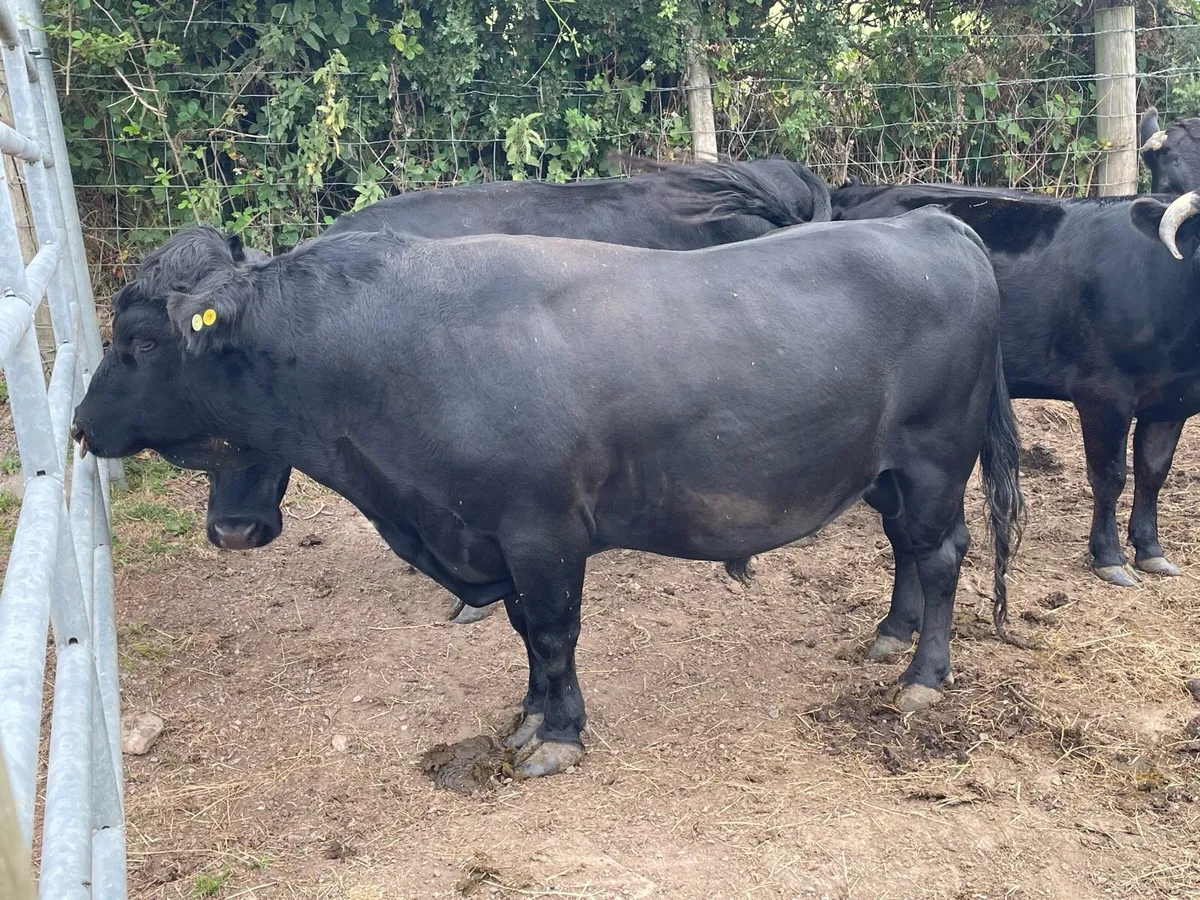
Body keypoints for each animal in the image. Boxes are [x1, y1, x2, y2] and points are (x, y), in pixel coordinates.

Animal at [72, 209, 1022, 777]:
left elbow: (557, 632)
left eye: (140, 340)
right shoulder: (492, 539)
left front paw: (561, 736)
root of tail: (930, 220)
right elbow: (528, 635)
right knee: (906, 547)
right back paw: (888, 635)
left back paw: (923, 675)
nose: (81, 425)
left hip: (936, 458)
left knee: (942, 554)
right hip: (887, 471)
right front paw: (531, 716)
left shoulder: (541, 532)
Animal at [831, 180, 1200, 589]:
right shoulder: (1103, 394)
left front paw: (1151, 550)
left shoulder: (1172, 402)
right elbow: (1111, 476)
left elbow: (1153, 473)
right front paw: (1109, 557)